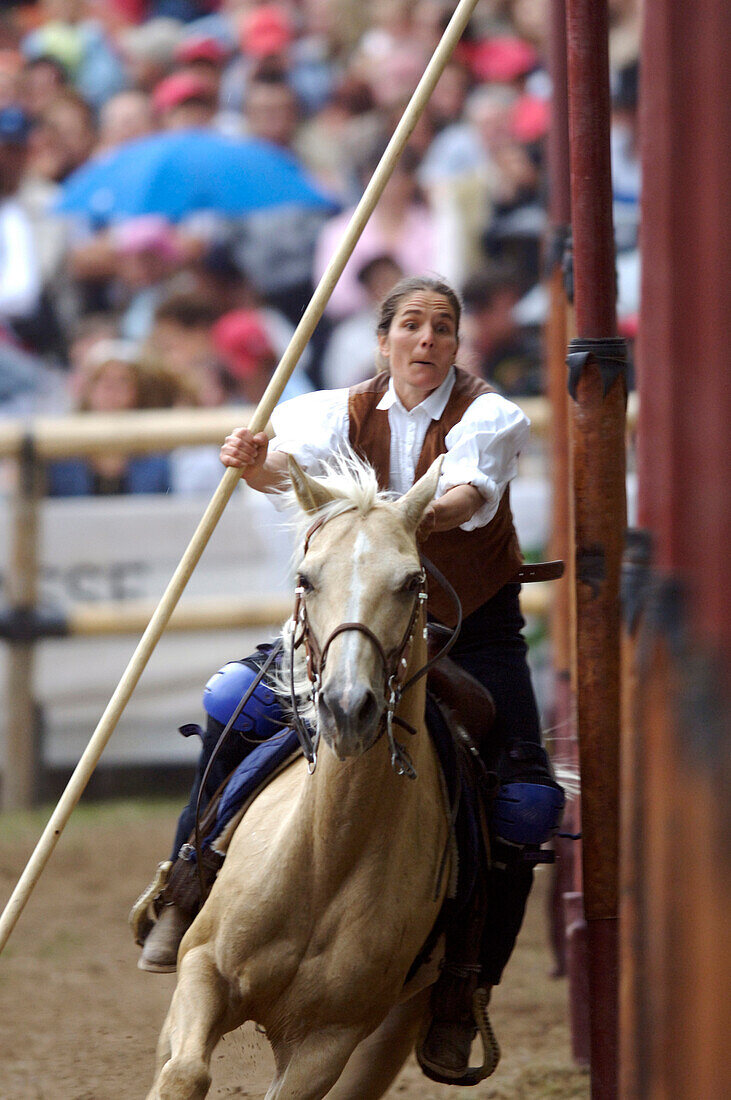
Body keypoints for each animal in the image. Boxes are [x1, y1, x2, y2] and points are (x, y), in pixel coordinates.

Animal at [146, 451, 452, 1095]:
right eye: (307, 578)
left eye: (413, 581)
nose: (347, 705)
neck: (325, 861)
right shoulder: (201, 969)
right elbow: (182, 1073)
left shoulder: (327, 1041)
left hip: (395, 1027)